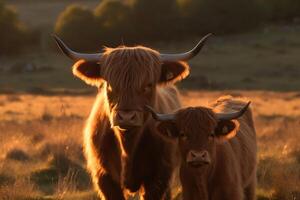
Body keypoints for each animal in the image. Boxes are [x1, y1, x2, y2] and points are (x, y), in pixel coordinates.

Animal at [53, 34, 211, 200]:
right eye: (109, 84)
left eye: (148, 85)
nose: (126, 117)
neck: (127, 145)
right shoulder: (104, 176)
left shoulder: (158, 177)